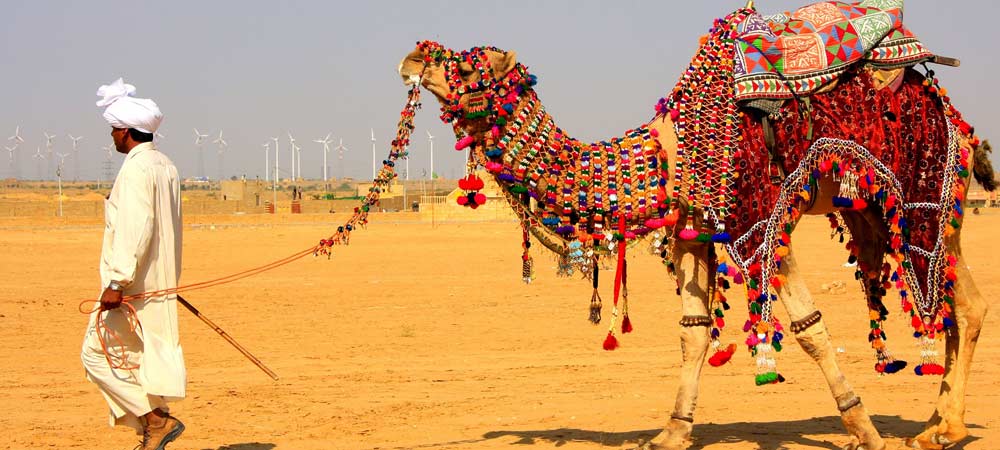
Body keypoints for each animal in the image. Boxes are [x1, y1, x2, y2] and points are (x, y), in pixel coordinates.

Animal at [384, 2, 992, 450]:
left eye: (468, 65)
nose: (412, 55)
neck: (666, 156)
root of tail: (962, 126)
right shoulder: (693, 233)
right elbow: (694, 333)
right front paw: (671, 431)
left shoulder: (761, 220)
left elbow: (810, 330)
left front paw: (863, 429)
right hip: (877, 210)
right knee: (951, 303)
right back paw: (936, 425)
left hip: (926, 200)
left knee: (963, 303)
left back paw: (944, 429)